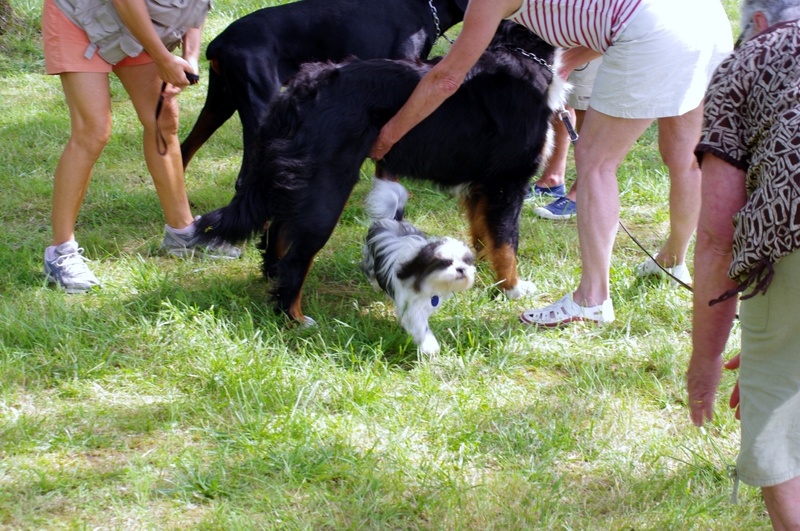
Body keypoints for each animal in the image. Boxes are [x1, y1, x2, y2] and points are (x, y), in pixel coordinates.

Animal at [196, 21, 564, 324]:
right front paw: (512, 289)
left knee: (277, 234)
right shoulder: (507, 184)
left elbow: (484, 235)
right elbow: (506, 243)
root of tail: (306, 85)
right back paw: (295, 318)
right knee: (296, 256)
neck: (522, 52)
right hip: (327, 188)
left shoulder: (482, 187)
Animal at [360, 180, 476, 358]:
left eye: (466, 261)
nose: (461, 269)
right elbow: (420, 325)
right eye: (445, 262)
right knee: (371, 273)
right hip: (371, 261)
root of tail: (392, 221)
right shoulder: (412, 306)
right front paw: (429, 346)